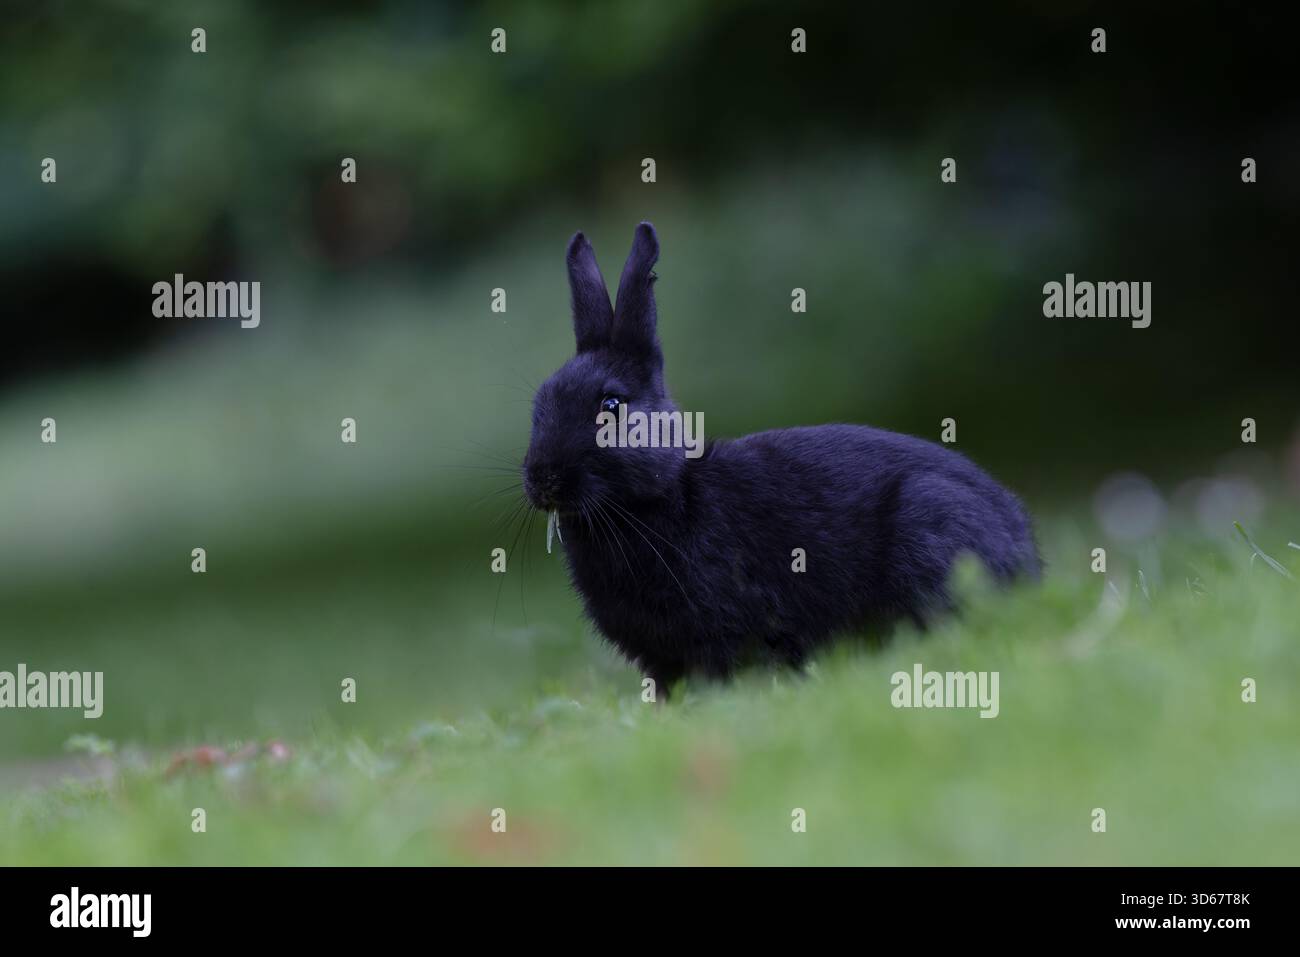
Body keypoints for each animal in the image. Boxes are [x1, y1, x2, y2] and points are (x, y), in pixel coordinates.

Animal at [522, 222, 1040, 695]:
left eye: (611, 405)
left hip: (930, 522)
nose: (542, 479)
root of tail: (1027, 554)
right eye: (539, 402)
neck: (658, 499)